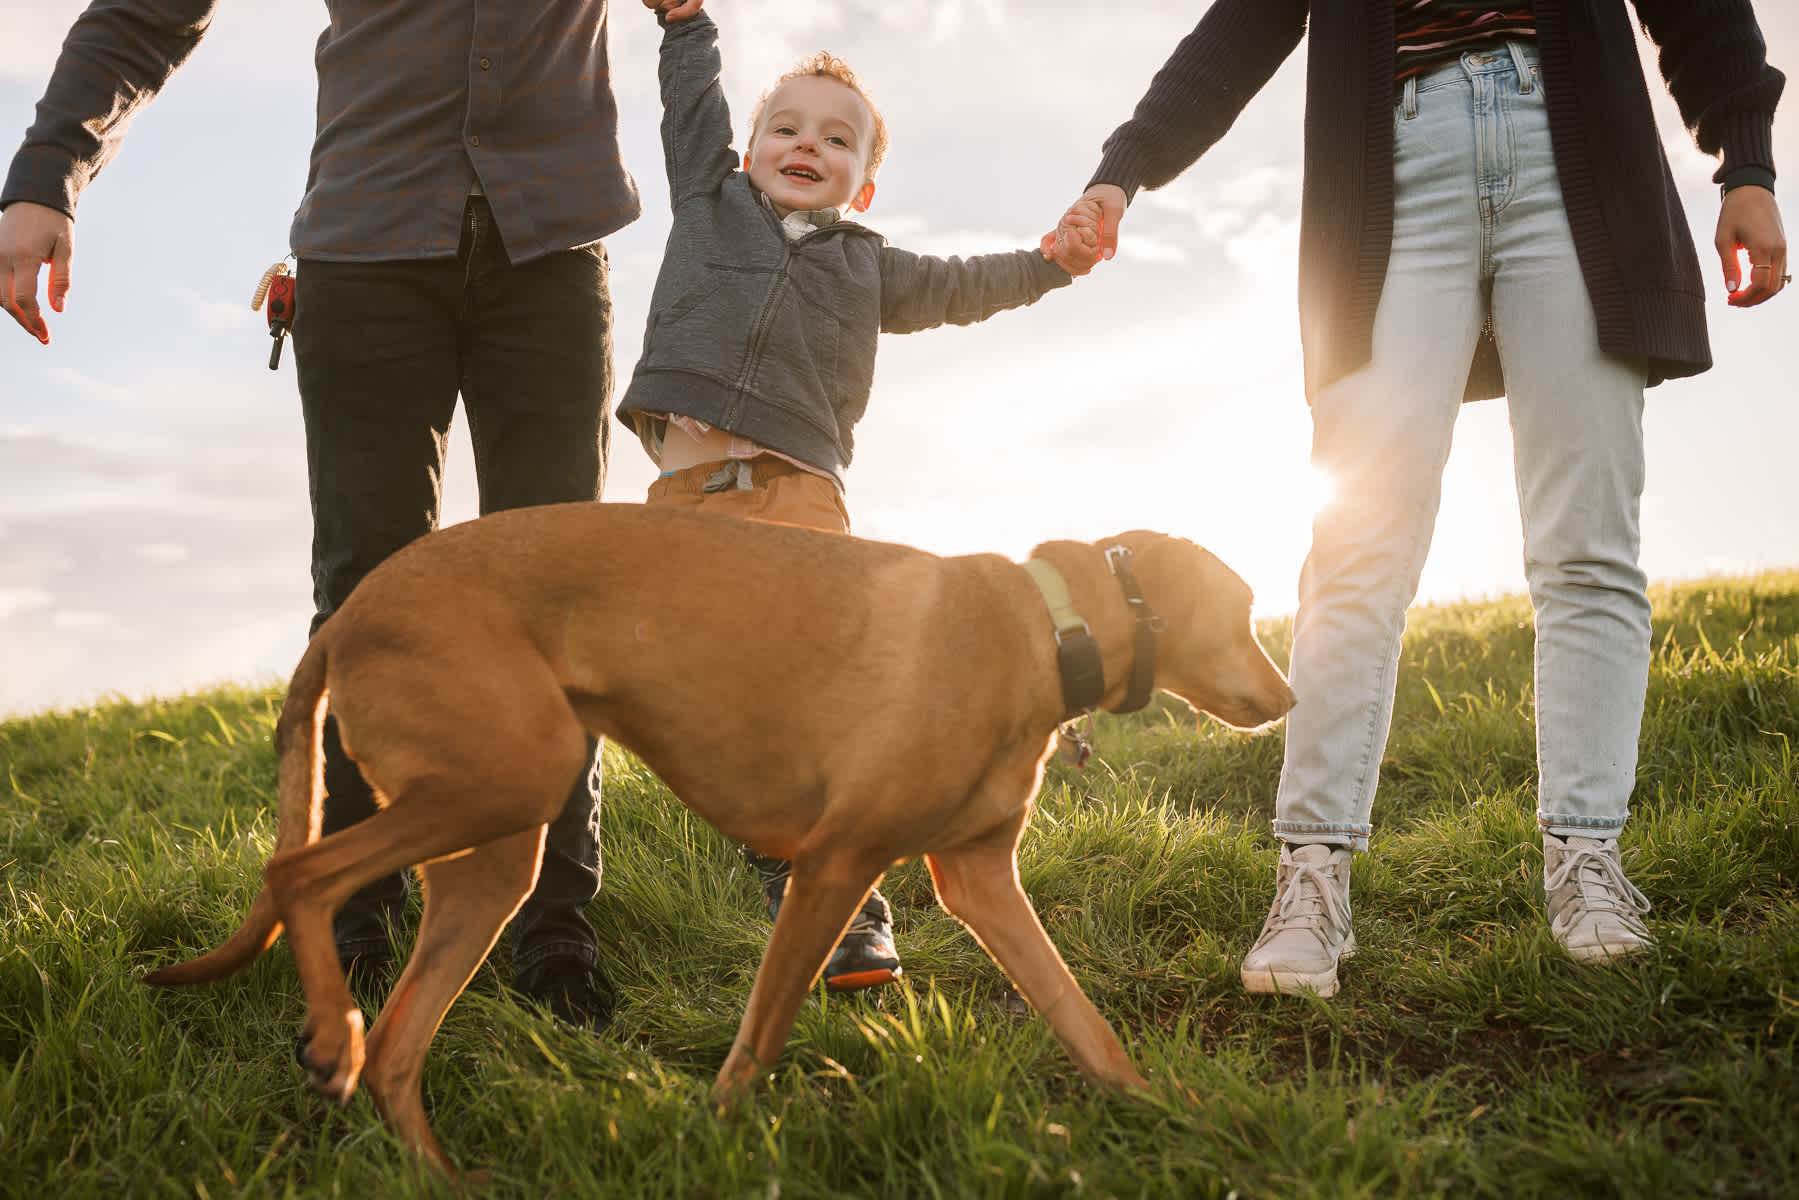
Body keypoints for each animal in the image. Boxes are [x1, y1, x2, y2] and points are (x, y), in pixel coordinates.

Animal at [143, 503, 1295, 1173]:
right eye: (1242, 609)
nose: (1288, 698)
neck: (1044, 626)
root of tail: (350, 608)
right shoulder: (834, 864)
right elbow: (761, 1037)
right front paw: (719, 1136)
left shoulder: (978, 882)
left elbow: (1085, 1025)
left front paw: (1177, 1115)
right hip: (510, 779)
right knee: (300, 872)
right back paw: (328, 1034)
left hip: (497, 850)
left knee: (397, 1048)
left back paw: (433, 1164)